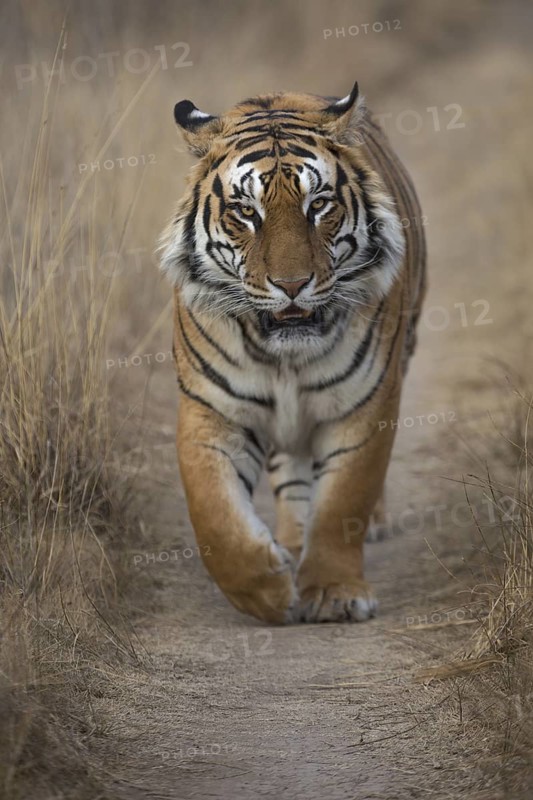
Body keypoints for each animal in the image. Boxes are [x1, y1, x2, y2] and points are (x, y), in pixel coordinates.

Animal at [159, 82, 426, 624]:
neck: (285, 357)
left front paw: (334, 593)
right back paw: (290, 541)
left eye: (318, 205)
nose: (291, 285)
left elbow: (345, 500)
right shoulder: (212, 410)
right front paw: (271, 592)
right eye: (246, 212)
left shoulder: (363, 405)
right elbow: (215, 516)